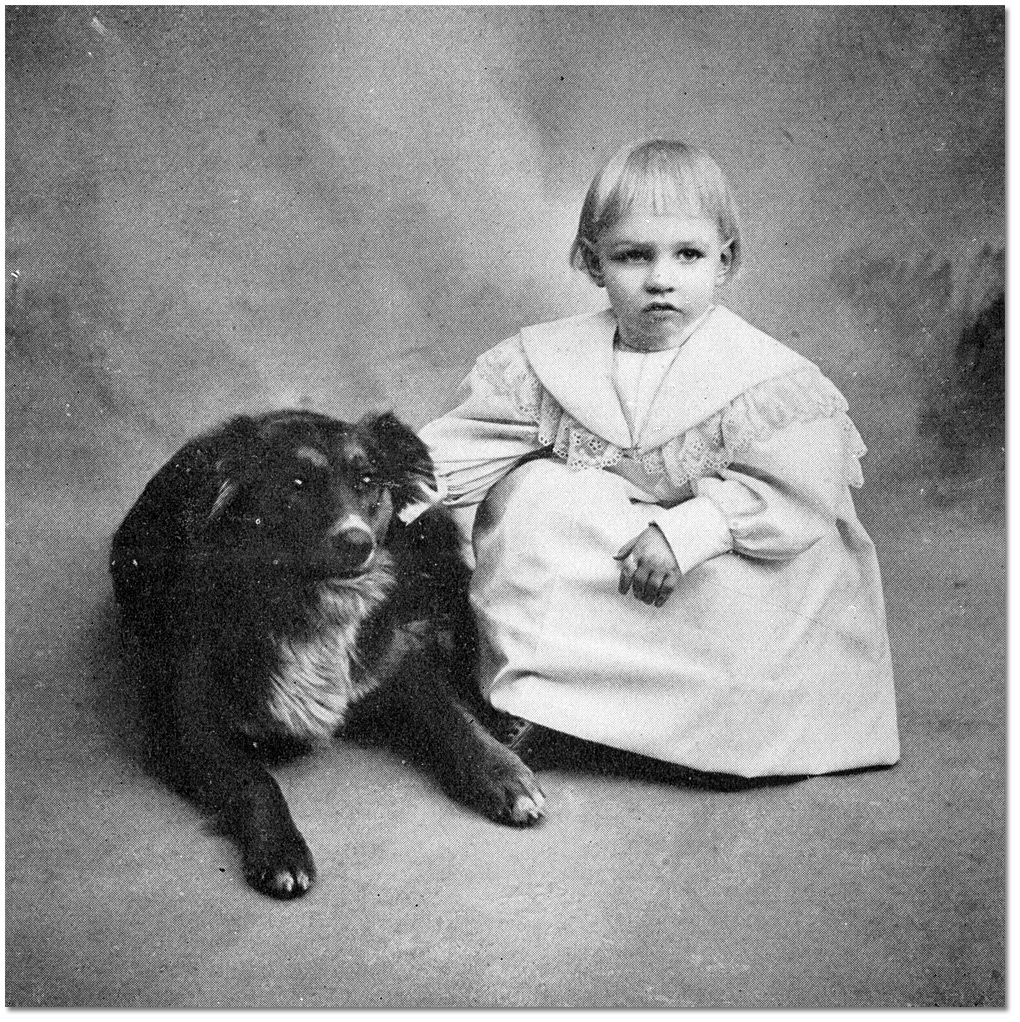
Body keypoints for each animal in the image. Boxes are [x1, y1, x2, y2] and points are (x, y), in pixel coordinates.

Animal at [107, 410, 547, 899]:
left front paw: (499, 771)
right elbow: (254, 779)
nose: (358, 542)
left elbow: (449, 715)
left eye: (367, 479)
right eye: (297, 482)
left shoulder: (388, 661)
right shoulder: (185, 725)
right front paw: (282, 849)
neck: (307, 603)